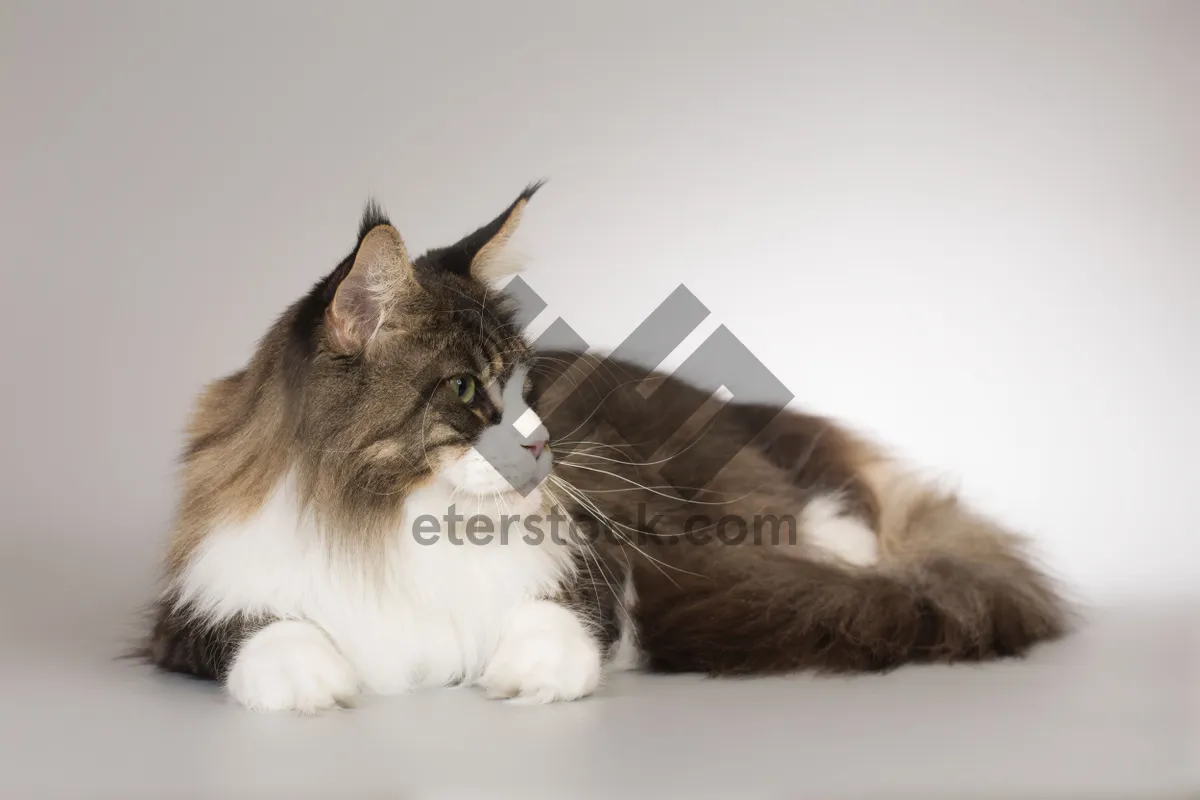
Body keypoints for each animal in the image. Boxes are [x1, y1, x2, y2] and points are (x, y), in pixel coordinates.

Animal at [142, 185, 1070, 714]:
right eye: (465, 391)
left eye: (526, 388)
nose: (543, 443)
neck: (392, 523)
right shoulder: (189, 614)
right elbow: (270, 635)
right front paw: (311, 684)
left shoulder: (599, 568)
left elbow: (563, 623)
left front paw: (525, 676)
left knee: (838, 524)